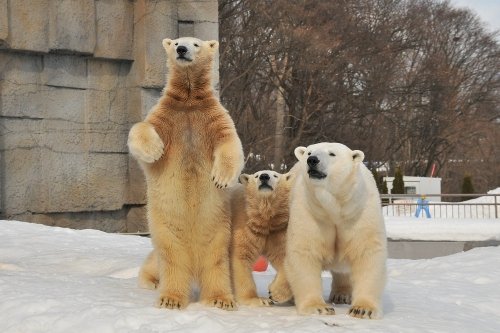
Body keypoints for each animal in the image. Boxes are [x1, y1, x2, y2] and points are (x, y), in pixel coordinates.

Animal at [129, 37, 244, 310]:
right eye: (176, 42)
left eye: (196, 44)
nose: (182, 49)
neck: (190, 100)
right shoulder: (167, 116)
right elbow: (143, 127)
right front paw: (154, 150)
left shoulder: (214, 118)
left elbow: (230, 142)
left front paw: (221, 178)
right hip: (164, 229)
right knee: (170, 259)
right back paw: (167, 295)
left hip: (219, 229)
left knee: (216, 261)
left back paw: (221, 299)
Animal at [286, 141, 386, 318]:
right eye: (309, 152)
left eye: (332, 154)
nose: (312, 160)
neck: (334, 209)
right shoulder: (310, 211)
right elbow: (305, 251)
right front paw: (318, 308)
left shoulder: (359, 212)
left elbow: (367, 252)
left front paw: (363, 309)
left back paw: (342, 294)